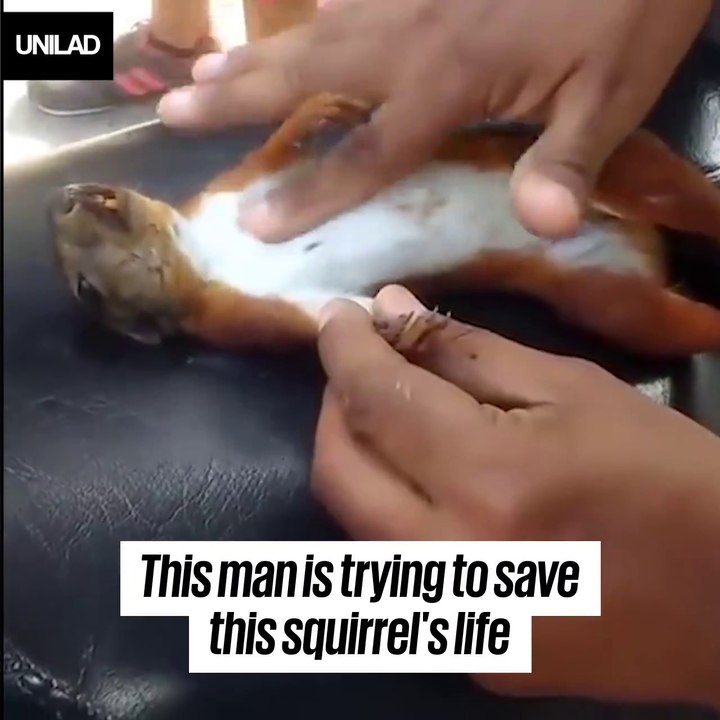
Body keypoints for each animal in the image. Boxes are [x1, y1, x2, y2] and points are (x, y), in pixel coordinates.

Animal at [48, 93, 720, 357]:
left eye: (99, 194)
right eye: (86, 292)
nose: (62, 197)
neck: (204, 252)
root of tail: (650, 249)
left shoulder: (234, 194)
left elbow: (274, 153)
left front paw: (322, 107)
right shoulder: (232, 315)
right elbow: (319, 317)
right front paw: (407, 326)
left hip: (631, 172)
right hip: (610, 299)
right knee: (678, 322)